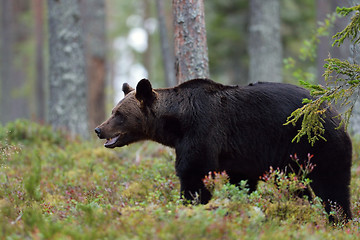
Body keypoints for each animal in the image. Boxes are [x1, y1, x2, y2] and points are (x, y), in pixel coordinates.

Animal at [93, 79, 352, 221]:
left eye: (119, 114)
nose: (99, 129)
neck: (177, 123)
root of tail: (334, 112)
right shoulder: (241, 156)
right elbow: (241, 181)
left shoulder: (203, 133)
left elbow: (194, 175)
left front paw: (189, 207)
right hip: (290, 160)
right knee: (299, 187)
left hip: (317, 144)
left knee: (333, 186)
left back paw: (339, 219)